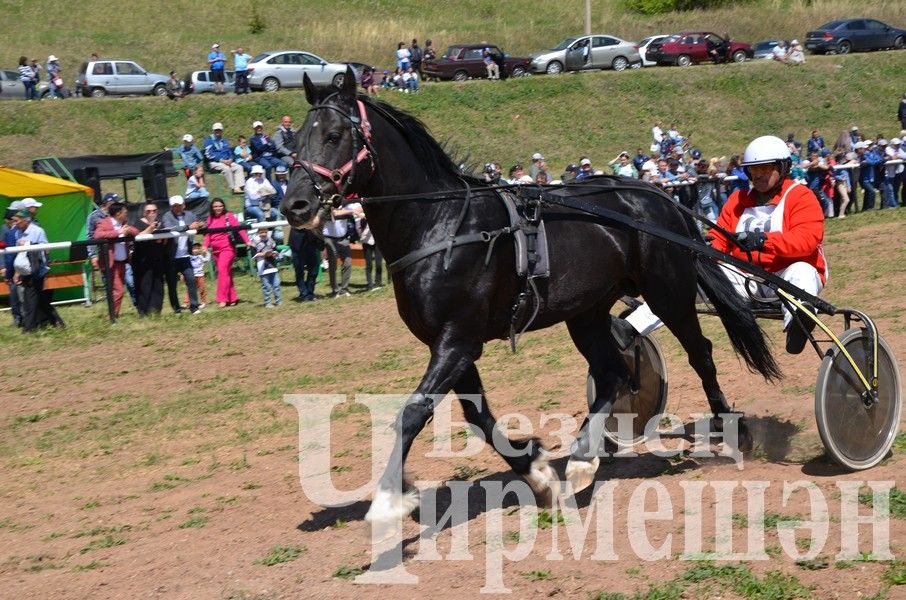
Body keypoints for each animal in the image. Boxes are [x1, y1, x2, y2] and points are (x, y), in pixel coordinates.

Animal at [280, 68, 776, 532]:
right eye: (296, 141)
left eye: (334, 135)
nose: (295, 206)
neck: (441, 223)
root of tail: (658, 194)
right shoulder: (453, 345)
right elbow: (477, 415)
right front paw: (535, 472)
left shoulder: (457, 340)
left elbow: (413, 412)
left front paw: (388, 500)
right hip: (587, 312)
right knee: (613, 373)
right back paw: (582, 458)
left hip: (667, 292)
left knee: (700, 353)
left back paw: (731, 430)